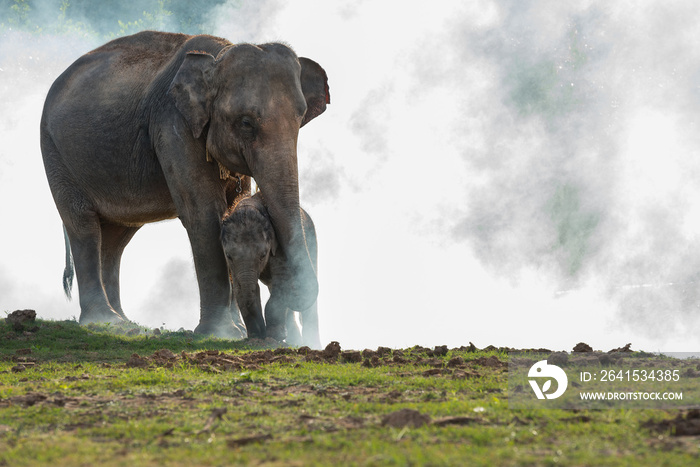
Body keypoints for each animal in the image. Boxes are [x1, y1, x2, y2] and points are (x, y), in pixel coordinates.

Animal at [220, 192, 322, 350]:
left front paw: (274, 336)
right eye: (229, 256)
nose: (261, 332)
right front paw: (257, 336)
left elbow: (281, 280)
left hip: (311, 243)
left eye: (263, 255)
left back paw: (312, 344)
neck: (249, 206)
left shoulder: (279, 246)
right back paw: (294, 341)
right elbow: (240, 288)